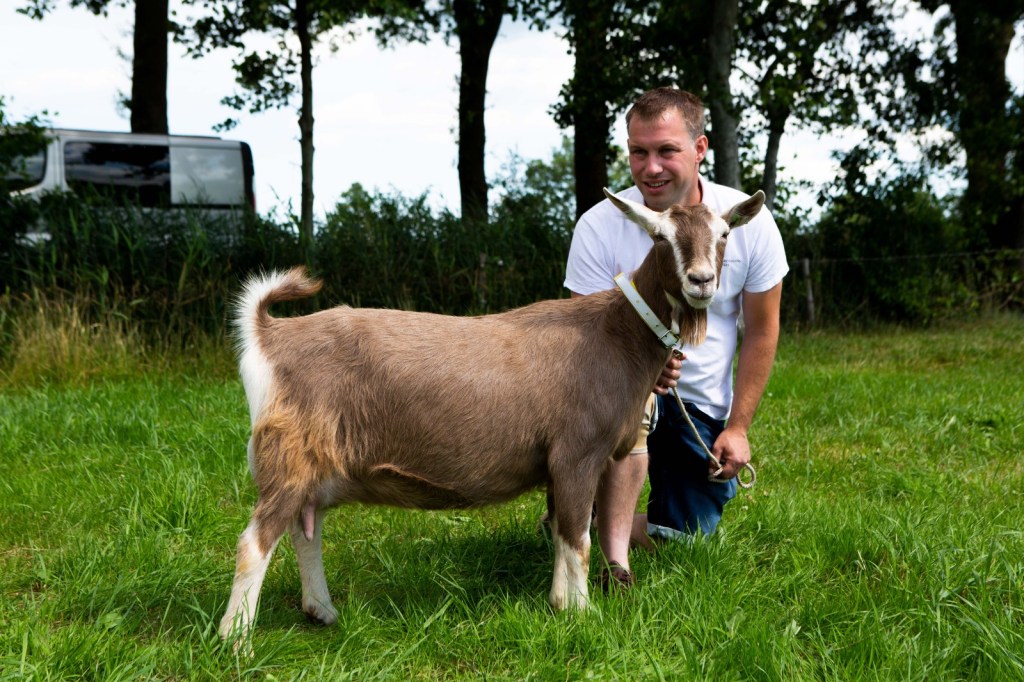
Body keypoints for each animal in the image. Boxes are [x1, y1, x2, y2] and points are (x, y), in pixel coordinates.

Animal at [219, 188, 766, 641]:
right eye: (659, 236)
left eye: (723, 234)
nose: (701, 281)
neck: (616, 330)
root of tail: (272, 335)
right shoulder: (577, 453)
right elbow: (578, 537)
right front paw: (583, 614)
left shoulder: (561, 463)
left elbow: (563, 531)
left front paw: (561, 603)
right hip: (290, 451)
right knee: (255, 542)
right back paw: (235, 640)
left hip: (316, 462)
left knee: (303, 529)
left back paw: (322, 611)